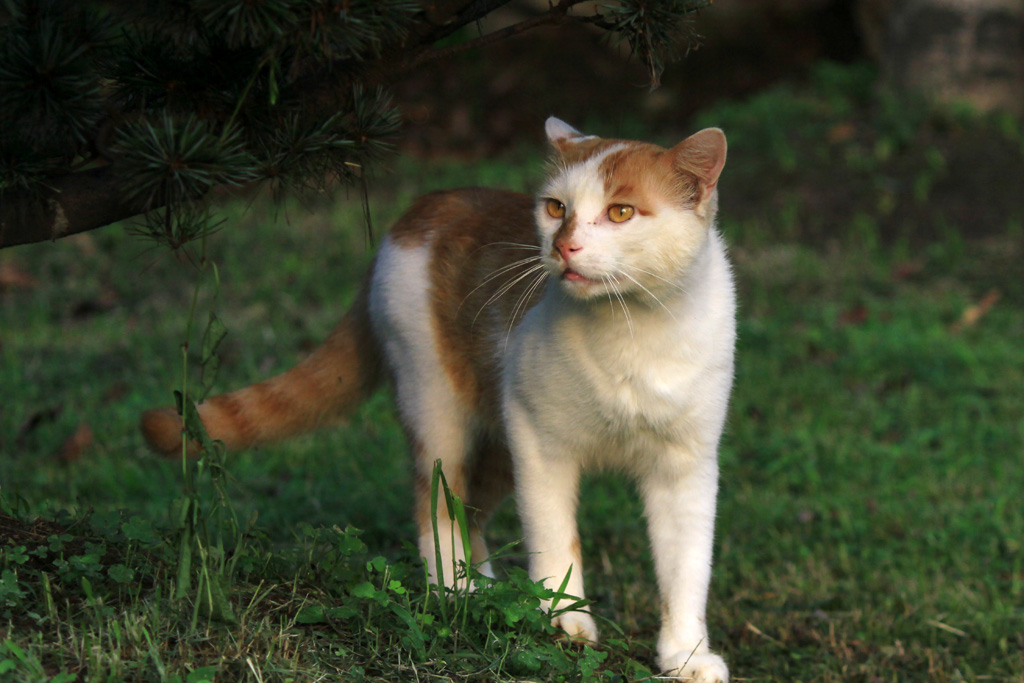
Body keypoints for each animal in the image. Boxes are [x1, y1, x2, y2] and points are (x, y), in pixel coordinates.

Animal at [144, 118, 737, 683]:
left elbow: (686, 569)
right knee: (437, 504)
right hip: (438, 406)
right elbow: (554, 538)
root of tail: (424, 205)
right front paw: (563, 620)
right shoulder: (540, 444)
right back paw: (457, 594)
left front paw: (685, 655)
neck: (634, 325)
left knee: (470, 510)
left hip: (495, 442)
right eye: (555, 208)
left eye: (621, 212)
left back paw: (489, 595)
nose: (562, 245)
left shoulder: (686, 467)